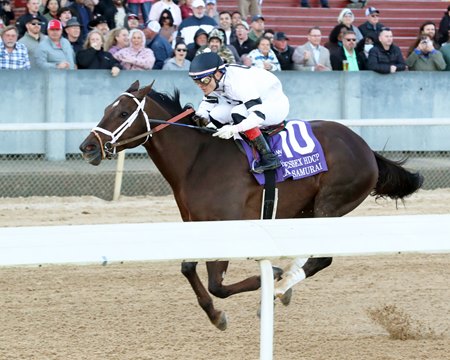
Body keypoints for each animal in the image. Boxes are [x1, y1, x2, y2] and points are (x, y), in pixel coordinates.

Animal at [80, 81, 426, 332]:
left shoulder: (224, 226)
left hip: (331, 204)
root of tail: (366, 148)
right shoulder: (196, 224)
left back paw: (279, 288)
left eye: (123, 112)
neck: (198, 160)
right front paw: (217, 314)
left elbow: (218, 285)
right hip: (306, 211)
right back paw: (283, 286)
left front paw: (269, 276)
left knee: (321, 258)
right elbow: (188, 269)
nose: (88, 147)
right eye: (106, 109)